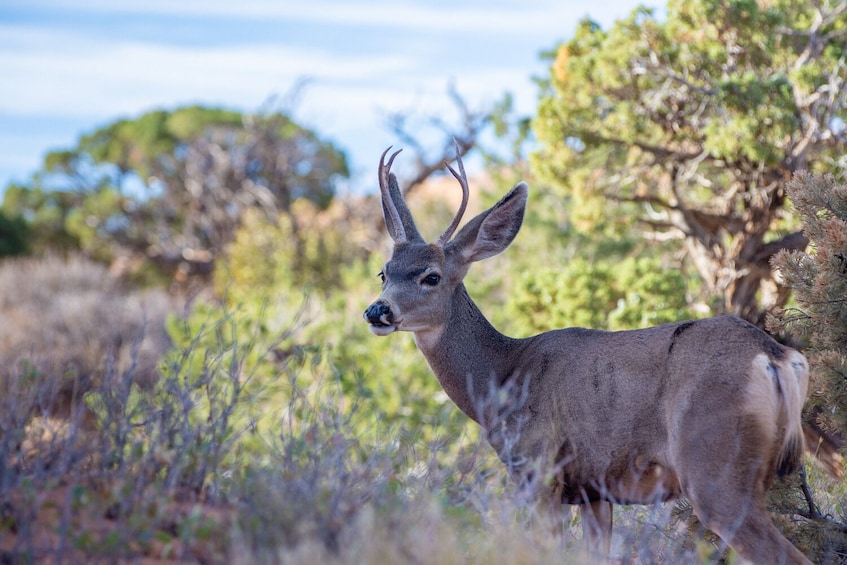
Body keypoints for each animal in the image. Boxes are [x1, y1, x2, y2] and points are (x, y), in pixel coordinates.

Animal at [368, 147, 820, 564]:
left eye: (431, 276)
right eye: (384, 272)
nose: (377, 310)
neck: (503, 375)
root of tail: (775, 357)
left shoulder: (539, 469)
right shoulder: (593, 491)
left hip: (714, 463)